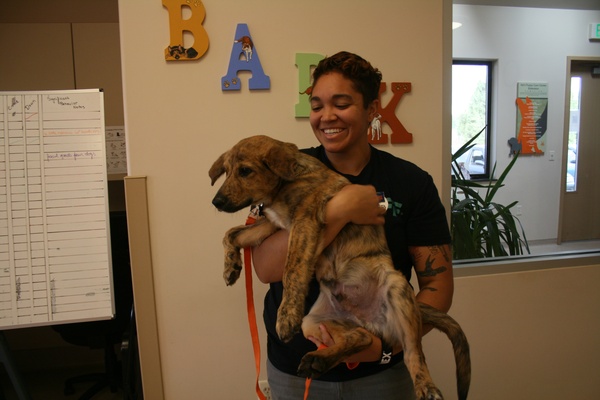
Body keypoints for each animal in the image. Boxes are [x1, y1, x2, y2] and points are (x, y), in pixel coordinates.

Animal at [209, 135, 472, 400]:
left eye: (245, 171)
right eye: (227, 171)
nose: (216, 202)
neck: (285, 184)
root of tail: (367, 319)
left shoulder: (304, 221)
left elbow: (292, 268)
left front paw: (286, 315)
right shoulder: (272, 225)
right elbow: (231, 234)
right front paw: (231, 266)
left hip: (397, 289)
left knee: (412, 353)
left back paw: (426, 387)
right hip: (315, 321)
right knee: (361, 337)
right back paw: (319, 360)